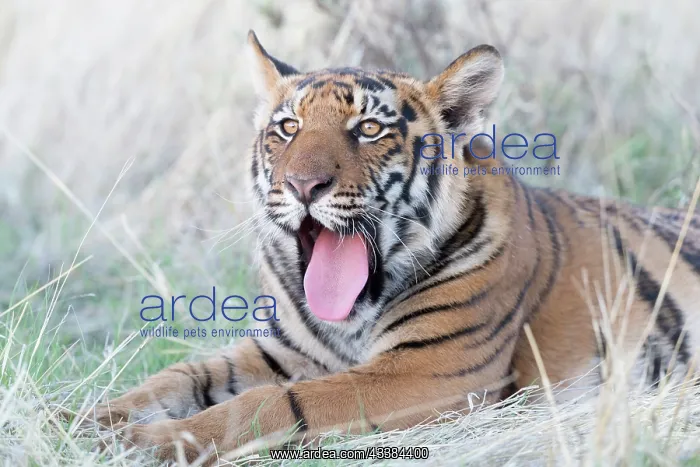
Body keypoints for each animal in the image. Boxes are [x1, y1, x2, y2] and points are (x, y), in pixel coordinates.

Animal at [79, 30, 700, 463]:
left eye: (369, 130)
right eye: (287, 128)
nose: (302, 185)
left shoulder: (427, 374)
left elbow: (271, 404)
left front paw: (146, 443)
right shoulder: (280, 352)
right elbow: (176, 377)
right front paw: (81, 420)